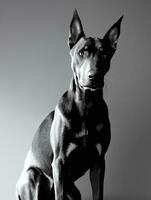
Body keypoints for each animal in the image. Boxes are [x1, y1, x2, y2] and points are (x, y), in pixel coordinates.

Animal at [16, 9, 122, 200]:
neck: (86, 105)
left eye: (104, 54)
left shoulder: (99, 161)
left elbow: (98, 193)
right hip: (33, 176)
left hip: (74, 191)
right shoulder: (59, 163)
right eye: (82, 52)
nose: (93, 76)